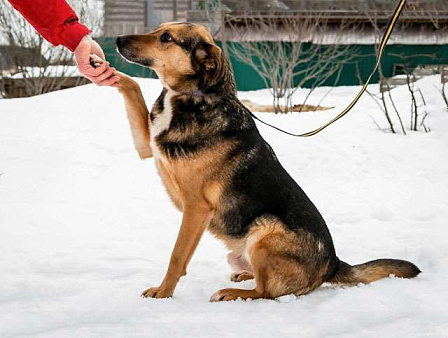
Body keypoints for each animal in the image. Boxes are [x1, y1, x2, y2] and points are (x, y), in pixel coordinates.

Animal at [106, 21, 420, 302]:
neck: (192, 96)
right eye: (159, 29)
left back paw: (232, 293)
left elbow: (177, 255)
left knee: (266, 292)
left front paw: (164, 293)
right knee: (262, 281)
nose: (118, 40)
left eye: (167, 38)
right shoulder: (147, 146)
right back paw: (243, 275)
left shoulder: (196, 207)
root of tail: (332, 265)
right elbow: (133, 86)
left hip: (264, 231)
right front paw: (106, 70)